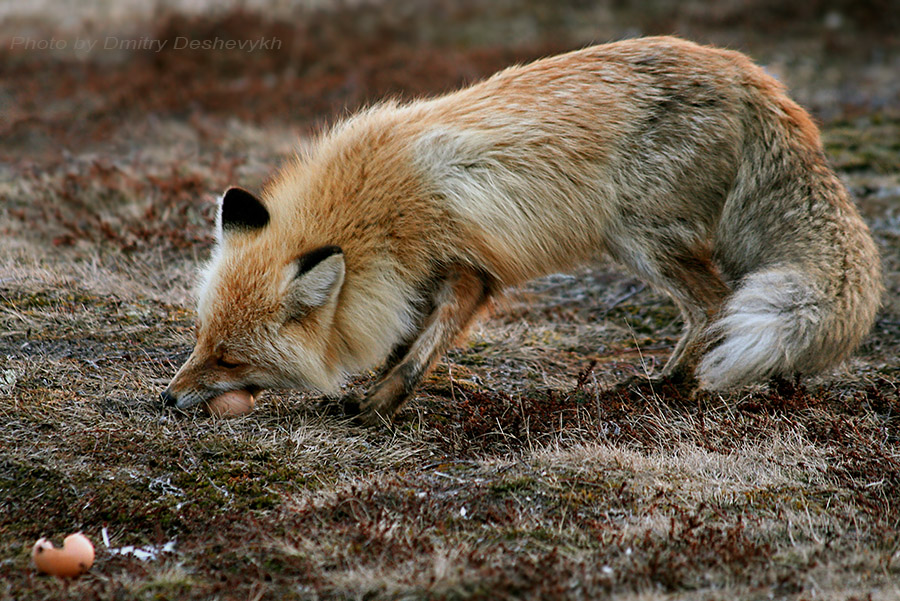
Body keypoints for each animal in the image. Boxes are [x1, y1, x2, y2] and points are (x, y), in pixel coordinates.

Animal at [160, 37, 880, 424]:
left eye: (231, 360)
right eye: (202, 340)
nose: (167, 398)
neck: (375, 209)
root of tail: (753, 73)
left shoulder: (468, 272)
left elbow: (421, 349)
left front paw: (380, 404)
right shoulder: (410, 280)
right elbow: (405, 339)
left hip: (640, 239)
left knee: (714, 304)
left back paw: (670, 384)